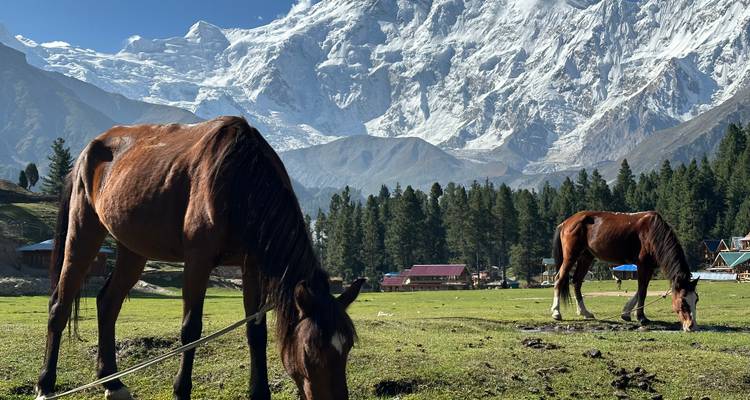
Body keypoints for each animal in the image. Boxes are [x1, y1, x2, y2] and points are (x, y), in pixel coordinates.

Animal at [35, 116, 365, 400]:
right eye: (310, 351)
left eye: (347, 346)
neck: (239, 179)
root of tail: (88, 152)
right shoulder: (198, 260)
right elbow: (190, 329)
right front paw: (181, 390)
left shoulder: (252, 264)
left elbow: (255, 330)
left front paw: (259, 393)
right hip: (83, 232)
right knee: (60, 304)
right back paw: (46, 384)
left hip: (134, 249)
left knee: (107, 303)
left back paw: (112, 383)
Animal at [550, 211, 699, 332]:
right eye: (683, 301)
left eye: (696, 300)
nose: (691, 325)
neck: (652, 232)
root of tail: (566, 223)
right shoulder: (643, 265)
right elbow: (642, 291)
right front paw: (641, 317)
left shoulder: (649, 267)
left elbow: (641, 289)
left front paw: (626, 313)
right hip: (571, 256)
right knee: (559, 279)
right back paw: (556, 312)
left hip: (586, 257)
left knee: (577, 281)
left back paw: (584, 312)